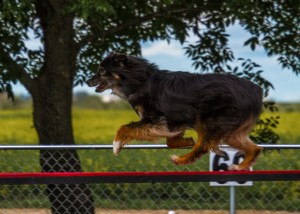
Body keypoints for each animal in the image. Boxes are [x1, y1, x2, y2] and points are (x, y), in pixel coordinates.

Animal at [86, 52, 262, 171]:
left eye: (102, 70)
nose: (87, 81)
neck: (140, 80)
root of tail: (255, 91)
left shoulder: (154, 120)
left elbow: (125, 128)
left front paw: (116, 146)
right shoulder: (172, 122)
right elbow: (170, 141)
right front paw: (187, 141)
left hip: (208, 120)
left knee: (203, 146)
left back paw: (181, 160)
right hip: (230, 131)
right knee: (255, 148)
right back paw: (240, 166)